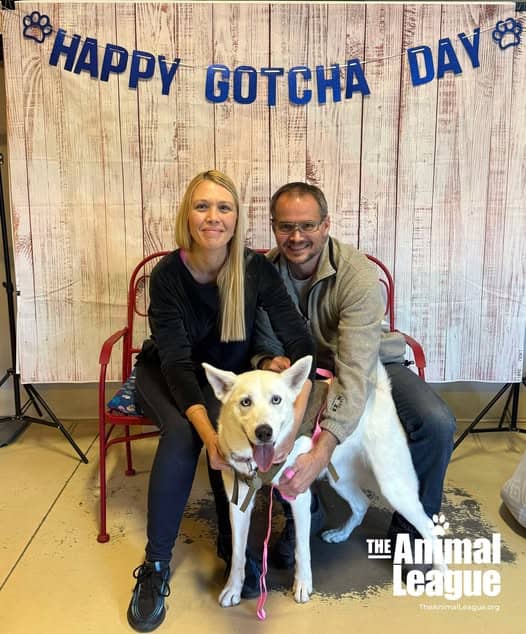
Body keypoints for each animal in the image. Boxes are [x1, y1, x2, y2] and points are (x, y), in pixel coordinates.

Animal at [204, 354, 444, 604]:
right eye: (245, 402)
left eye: (276, 400)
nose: (264, 432)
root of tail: (380, 392)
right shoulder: (239, 503)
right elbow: (238, 552)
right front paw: (234, 588)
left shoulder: (298, 496)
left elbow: (302, 550)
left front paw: (302, 585)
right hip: (339, 478)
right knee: (362, 503)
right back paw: (341, 533)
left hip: (394, 486)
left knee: (429, 527)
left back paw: (441, 573)